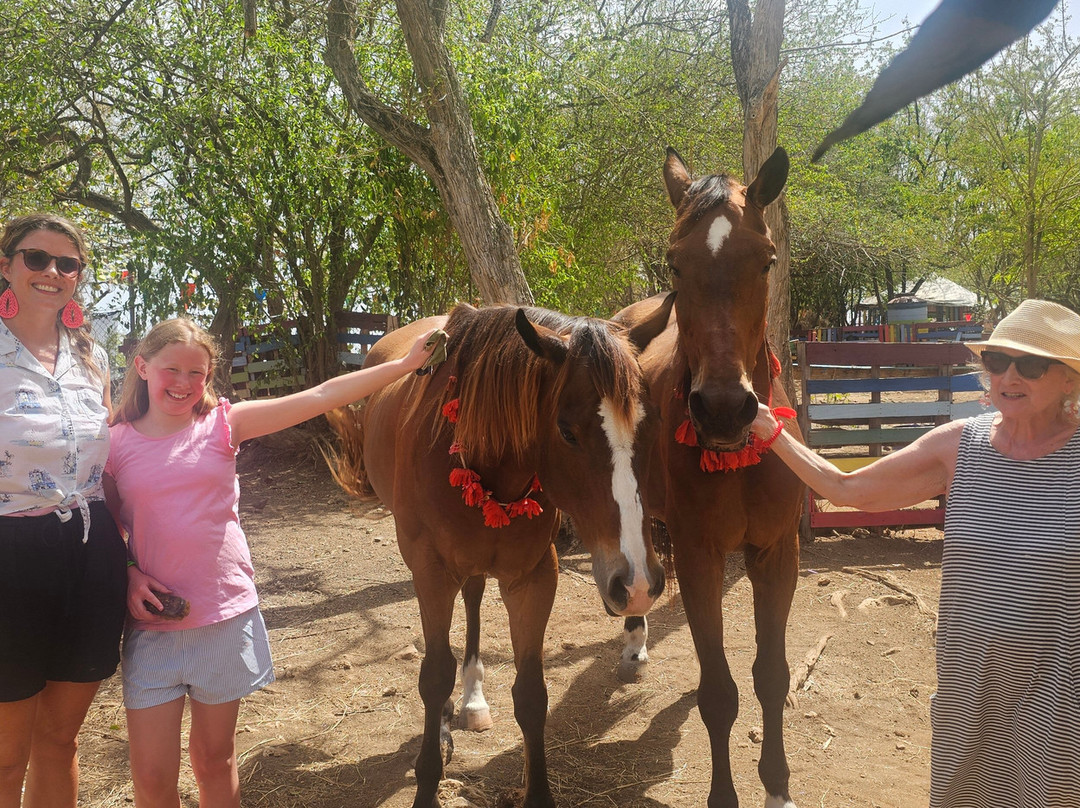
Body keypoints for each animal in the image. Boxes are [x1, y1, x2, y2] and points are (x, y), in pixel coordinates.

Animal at [327, 298, 673, 808]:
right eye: (567, 431)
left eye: (650, 425)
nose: (638, 584)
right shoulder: (430, 571)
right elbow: (434, 675)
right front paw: (428, 778)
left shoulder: (534, 577)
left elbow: (531, 693)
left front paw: (538, 793)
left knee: (472, 598)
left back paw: (472, 699)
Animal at [612, 146, 805, 808]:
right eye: (676, 262)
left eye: (766, 259)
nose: (723, 409)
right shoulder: (700, 555)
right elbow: (719, 694)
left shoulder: (776, 552)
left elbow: (771, 677)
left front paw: (777, 785)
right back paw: (635, 636)